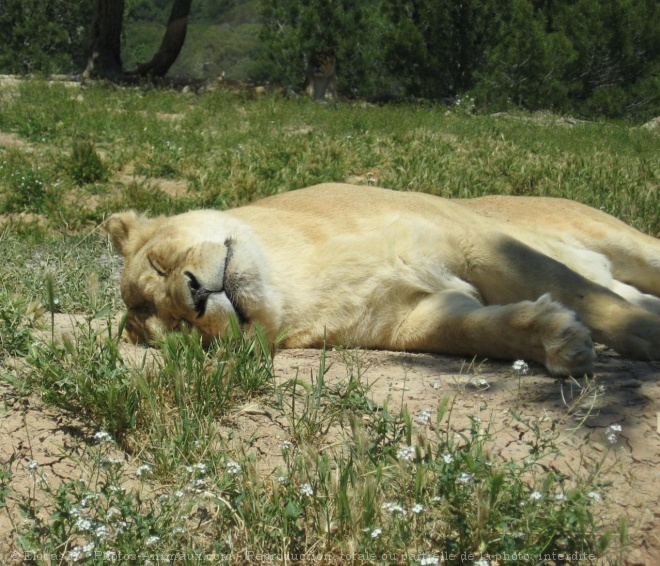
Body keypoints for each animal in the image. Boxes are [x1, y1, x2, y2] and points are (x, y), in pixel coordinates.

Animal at [103, 184, 660, 378]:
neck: (297, 280)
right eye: (183, 331)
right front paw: (557, 340)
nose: (196, 295)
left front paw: (642, 335)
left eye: (161, 263)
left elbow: (581, 293)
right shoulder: (414, 319)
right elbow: (481, 332)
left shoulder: (480, 242)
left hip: (623, 240)